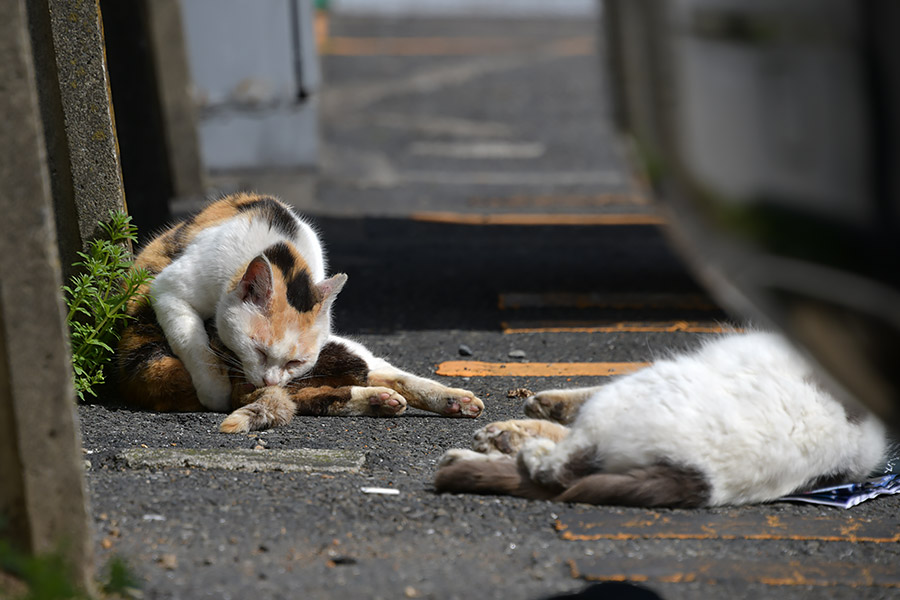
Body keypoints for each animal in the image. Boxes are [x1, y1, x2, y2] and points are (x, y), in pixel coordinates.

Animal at [119, 193, 486, 432]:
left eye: (294, 361)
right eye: (257, 350)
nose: (269, 379)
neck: (282, 252)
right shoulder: (168, 289)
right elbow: (193, 340)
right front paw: (213, 387)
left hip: (349, 352)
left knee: (381, 378)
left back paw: (451, 400)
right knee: (323, 395)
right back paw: (382, 400)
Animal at [434, 332, 884, 506]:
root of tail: (705, 476)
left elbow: (577, 404)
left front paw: (535, 411)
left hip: (643, 387)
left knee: (558, 468)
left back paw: (489, 451)